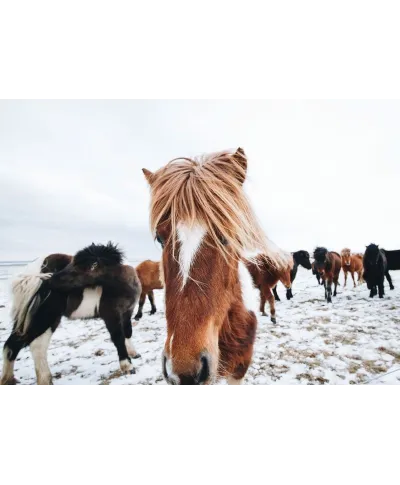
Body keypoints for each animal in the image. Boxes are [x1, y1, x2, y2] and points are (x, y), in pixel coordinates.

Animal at [0, 242, 142, 386]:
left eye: (76, 268)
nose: (50, 279)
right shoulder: (111, 315)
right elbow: (118, 338)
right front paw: (127, 366)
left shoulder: (127, 313)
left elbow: (127, 332)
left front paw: (133, 354)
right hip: (45, 317)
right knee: (37, 345)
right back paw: (45, 380)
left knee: (12, 345)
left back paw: (9, 379)